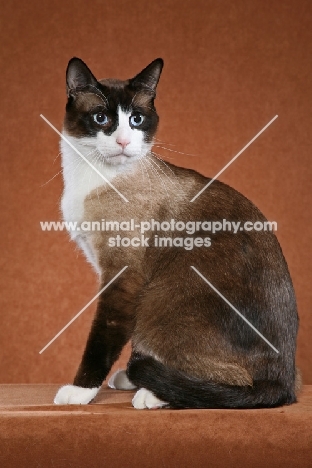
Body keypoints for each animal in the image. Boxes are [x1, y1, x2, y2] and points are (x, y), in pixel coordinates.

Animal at [53, 57, 300, 410]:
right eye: (101, 118)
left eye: (137, 120)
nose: (124, 142)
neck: (93, 177)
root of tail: (284, 383)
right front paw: (127, 377)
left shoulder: (122, 276)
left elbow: (102, 339)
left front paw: (79, 392)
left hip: (161, 303)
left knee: (234, 385)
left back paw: (152, 394)